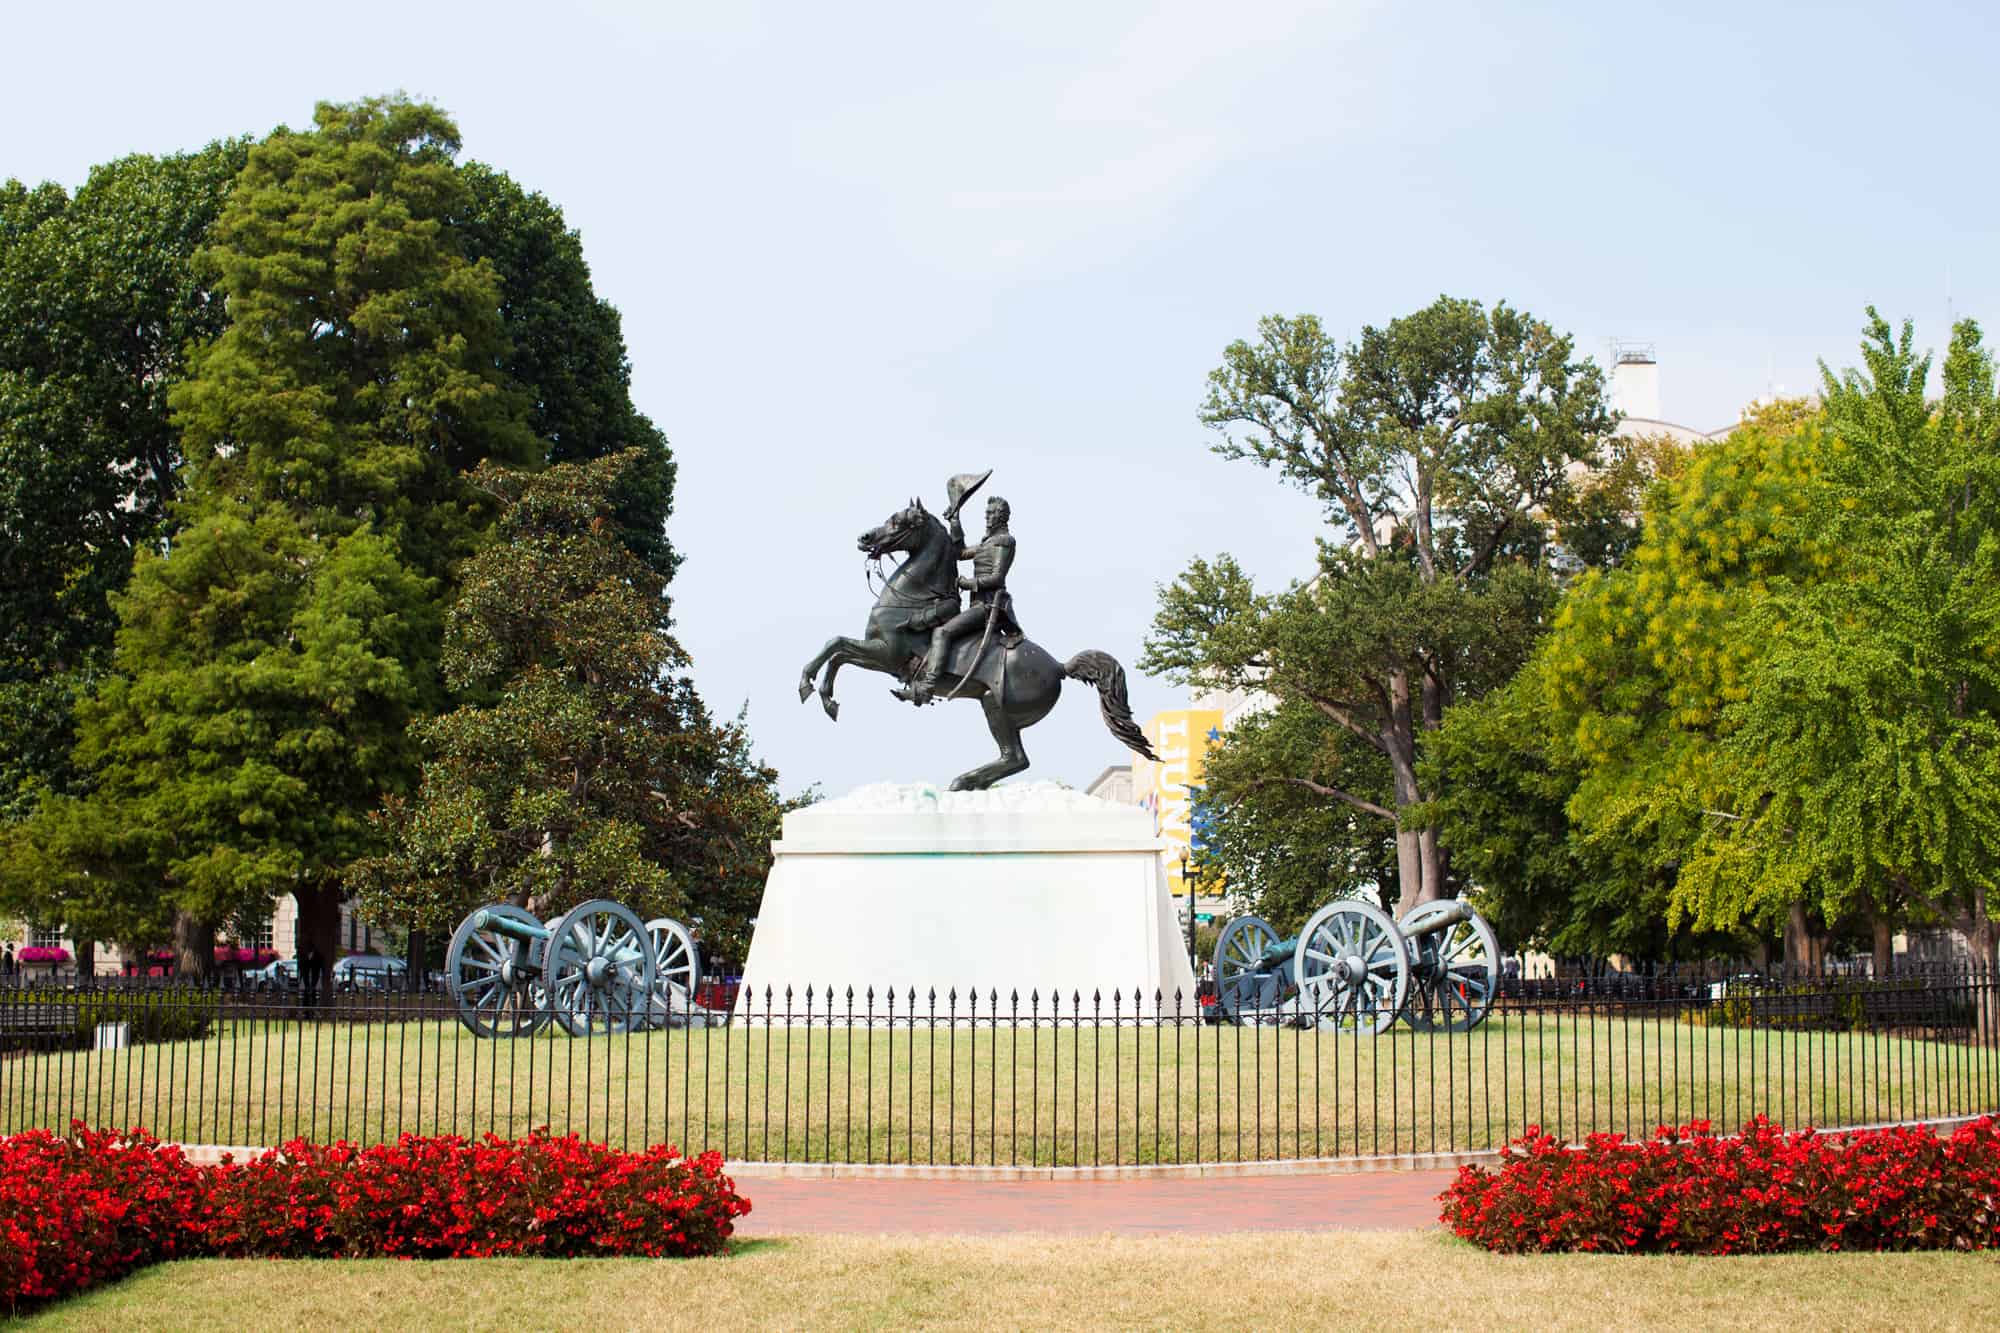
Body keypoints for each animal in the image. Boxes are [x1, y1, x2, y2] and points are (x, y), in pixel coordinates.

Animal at [800, 498, 1160, 788]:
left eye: (899, 521)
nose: (864, 538)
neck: (911, 601)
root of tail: (1059, 667)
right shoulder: (877, 655)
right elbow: (836, 650)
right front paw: (825, 697)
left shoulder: (886, 656)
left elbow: (837, 646)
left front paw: (812, 688)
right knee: (1013, 758)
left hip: (994, 705)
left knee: (1015, 758)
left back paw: (963, 782)